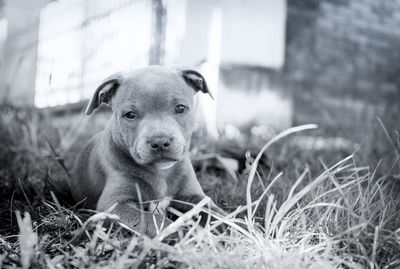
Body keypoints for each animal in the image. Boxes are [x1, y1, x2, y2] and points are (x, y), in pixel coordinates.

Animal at [67, 65, 227, 237]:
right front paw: (187, 236)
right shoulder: (113, 205)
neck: (161, 172)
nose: (160, 142)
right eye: (130, 115)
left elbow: (217, 214)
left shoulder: (194, 197)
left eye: (180, 108)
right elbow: (153, 220)